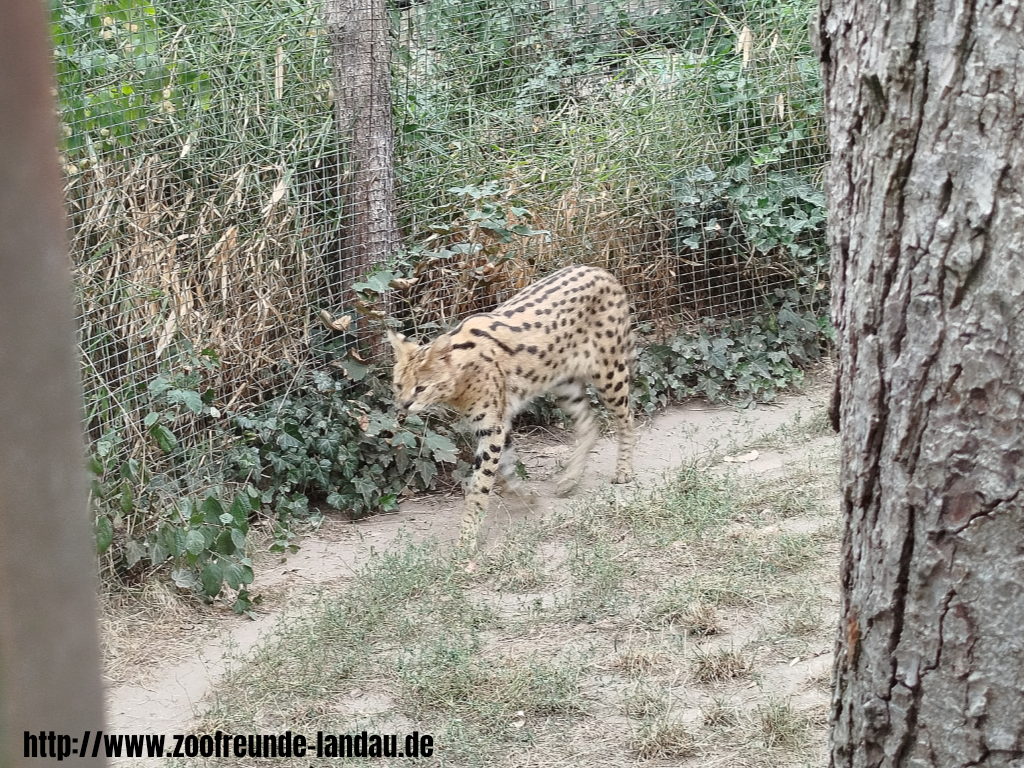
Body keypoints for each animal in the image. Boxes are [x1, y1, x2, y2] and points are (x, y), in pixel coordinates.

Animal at [389, 268, 634, 561]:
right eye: (398, 385)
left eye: (421, 388)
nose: (404, 405)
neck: (460, 378)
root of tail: (600, 271)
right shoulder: (497, 422)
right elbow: (505, 469)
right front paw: (525, 496)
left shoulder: (492, 425)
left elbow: (481, 484)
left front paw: (467, 539)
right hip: (564, 383)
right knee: (590, 422)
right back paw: (570, 479)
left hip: (609, 372)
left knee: (627, 418)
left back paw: (624, 470)